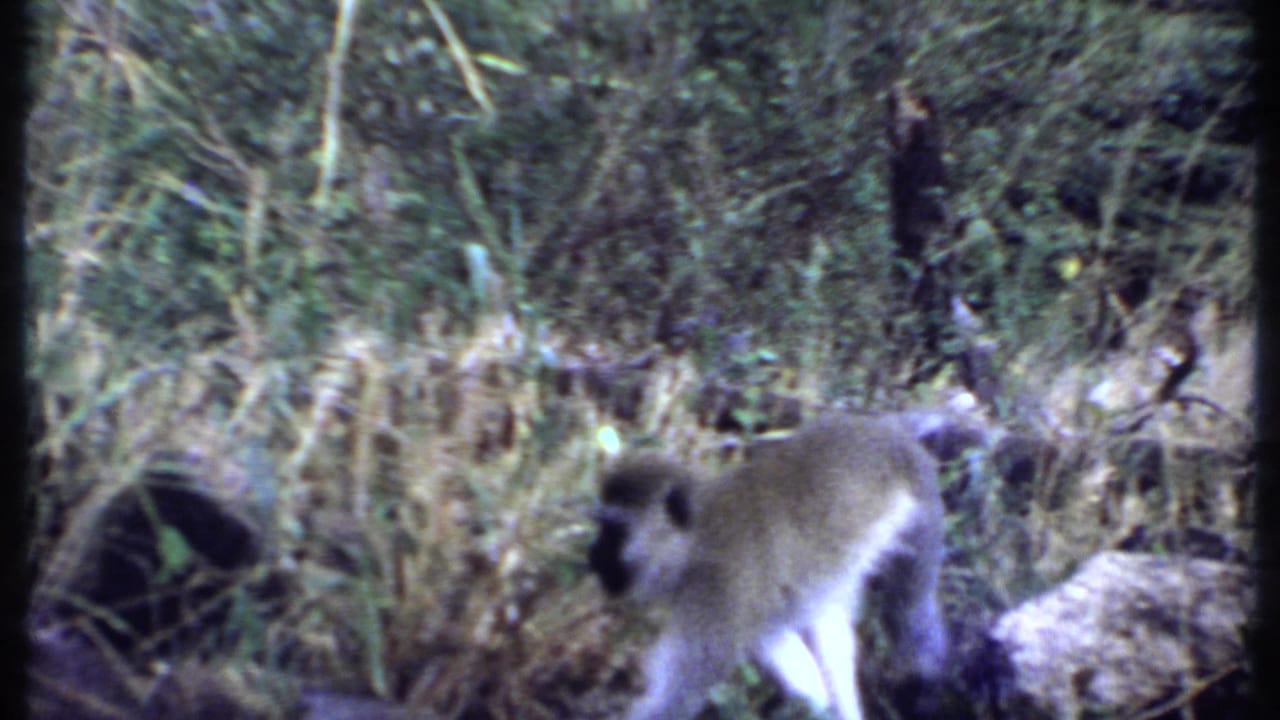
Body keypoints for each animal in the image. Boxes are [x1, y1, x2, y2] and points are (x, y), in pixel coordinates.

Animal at [587, 413, 947, 720]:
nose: (594, 557)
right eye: (602, 527)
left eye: (614, 531)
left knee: (911, 612)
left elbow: (678, 699)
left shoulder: (718, 596)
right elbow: (785, 653)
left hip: (922, 509)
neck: (697, 540)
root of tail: (885, 430)